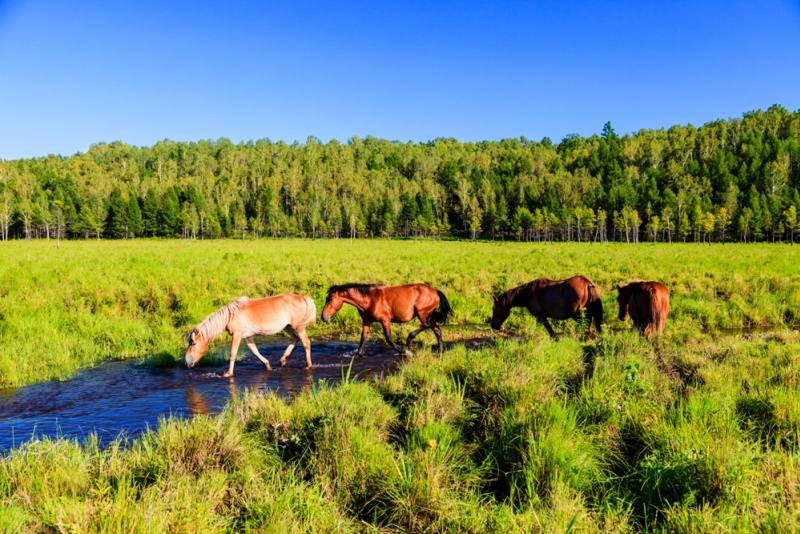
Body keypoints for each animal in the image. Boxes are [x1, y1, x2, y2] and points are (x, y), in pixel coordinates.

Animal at [184, 296, 316, 378]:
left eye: (193, 343)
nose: (186, 362)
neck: (231, 315)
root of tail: (302, 298)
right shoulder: (246, 336)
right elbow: (255, 351)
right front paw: (268, 366)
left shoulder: (237, 335)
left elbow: (233, 353)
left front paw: (229, 373)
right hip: (288, 327)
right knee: (296, 339)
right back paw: (282, 360)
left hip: (297, 327)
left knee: (306, 342)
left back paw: (308, 365)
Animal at [320, 284, 456, 356]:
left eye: (330, 299)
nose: (323, 317)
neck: (370, 299)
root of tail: (435, 291)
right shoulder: (367, 322)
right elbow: (363, 338)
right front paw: (359, 354)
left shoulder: (385, 320)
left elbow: (389, 338)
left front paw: (403, 351)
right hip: (428, 314)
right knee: (437, 330)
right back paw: (441, 350)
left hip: (422, 313)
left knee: (426, 325)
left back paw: (410, 338)